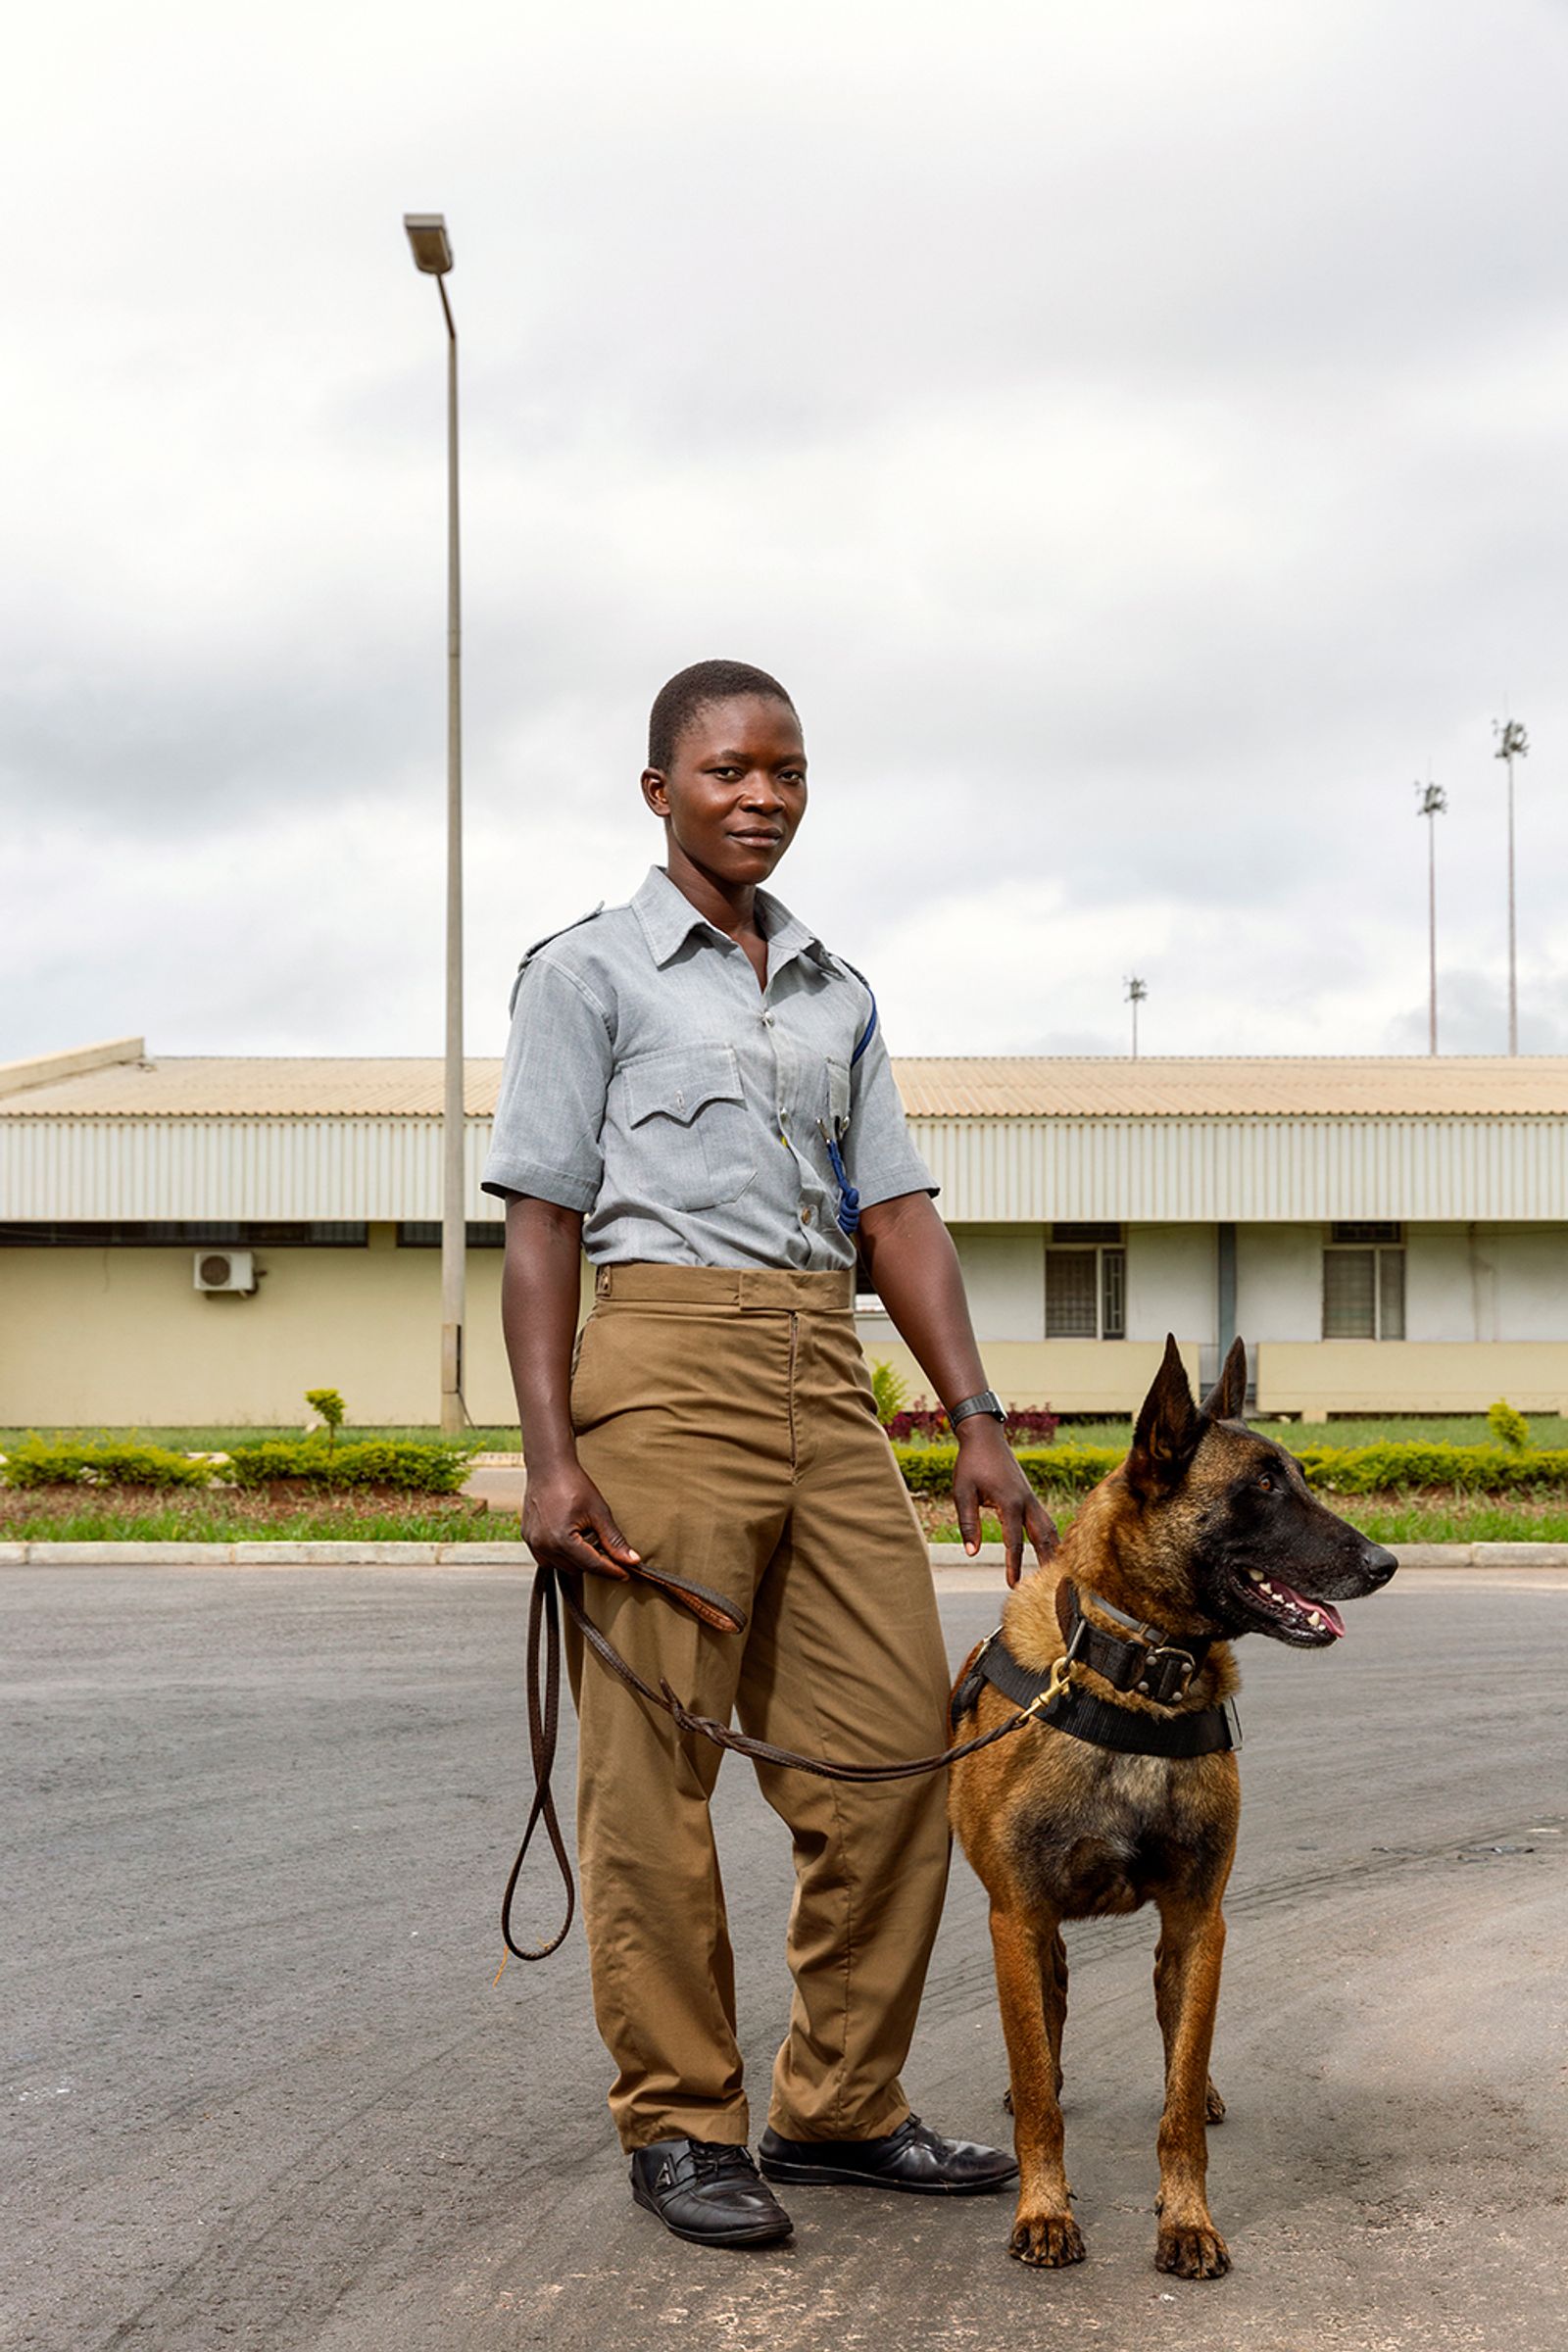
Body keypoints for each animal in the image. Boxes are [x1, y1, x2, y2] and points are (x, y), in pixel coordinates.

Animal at [945, 1345, 1400, 2277]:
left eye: (1301, 1477)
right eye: (1261, 1487)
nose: (1384, 1563)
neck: (1141, 1675)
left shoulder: (1199, 1923)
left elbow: (1180, 2098)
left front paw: (1187, 2218)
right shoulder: (1018, 1920)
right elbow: (1041, 2094)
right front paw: (1043, 2208)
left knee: (1175, 2042)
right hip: (1034, 1937)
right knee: (1047, 2028)